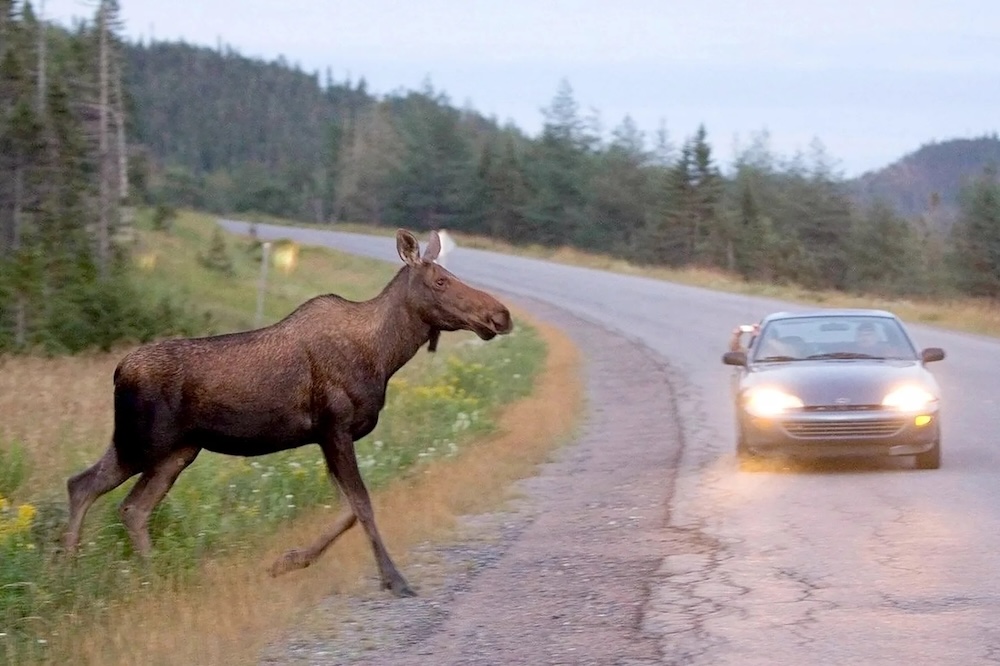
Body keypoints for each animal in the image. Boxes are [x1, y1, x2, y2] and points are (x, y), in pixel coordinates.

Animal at [66, 228, 512, 596]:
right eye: (440, 281)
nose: (501, 314)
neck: (385, 355)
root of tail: (118, 372)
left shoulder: (325, 437)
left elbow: (347, 510)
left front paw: (287, 561)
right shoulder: (335, 427)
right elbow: (363, 505)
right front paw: (394, 579)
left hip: (175, 451)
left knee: (123, 503)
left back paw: (134, 577)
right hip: (143, 443)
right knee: (91, 489)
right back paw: (75, 575)